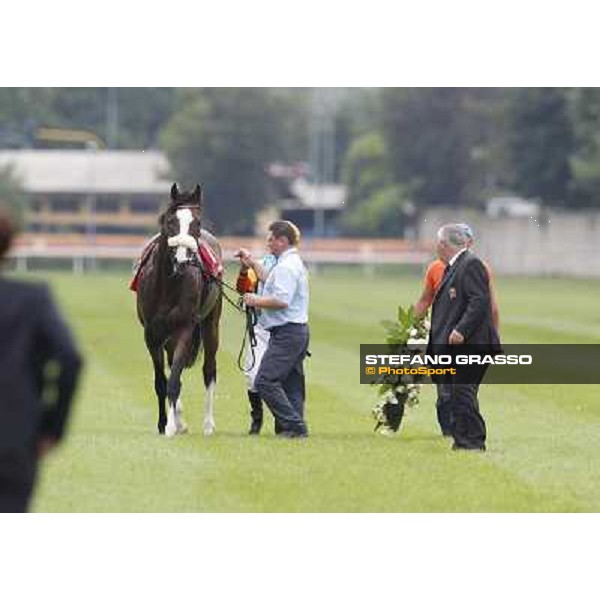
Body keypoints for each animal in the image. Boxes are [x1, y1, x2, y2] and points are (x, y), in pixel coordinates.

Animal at [136, 183, 223, 436]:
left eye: (198, 223)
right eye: (170, 221)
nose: (183, 259)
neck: (169, 283)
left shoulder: (185, 328)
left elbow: (174, 379)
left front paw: (171, 426)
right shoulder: (152, 334)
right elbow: (161, 381)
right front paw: (165, 422)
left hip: (210, 325)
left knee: (209, 370)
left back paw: (208, 424)